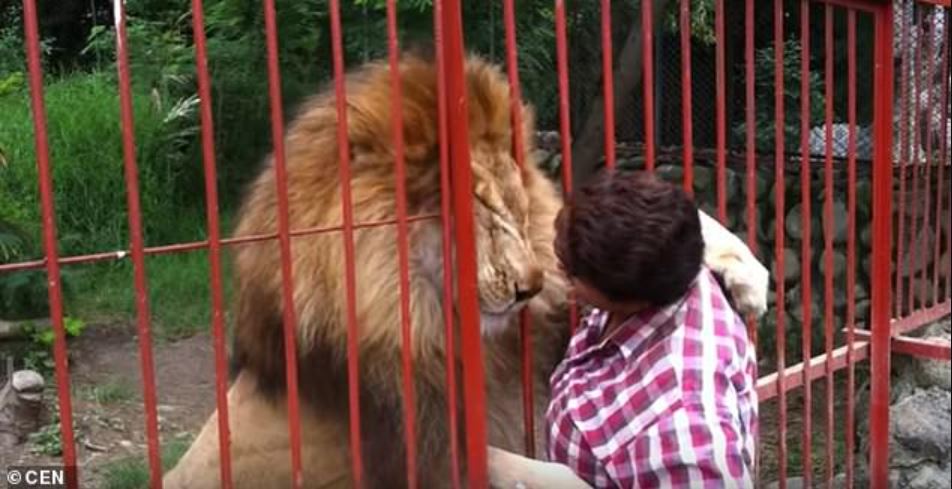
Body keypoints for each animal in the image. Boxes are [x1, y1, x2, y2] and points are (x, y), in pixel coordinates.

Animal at [164, 51, 768, 486]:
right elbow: (539, 472)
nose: (529, 288)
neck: (428, 317)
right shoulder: (420, 442)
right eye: (478, 215)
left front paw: (746, 276)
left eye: (518, 212)